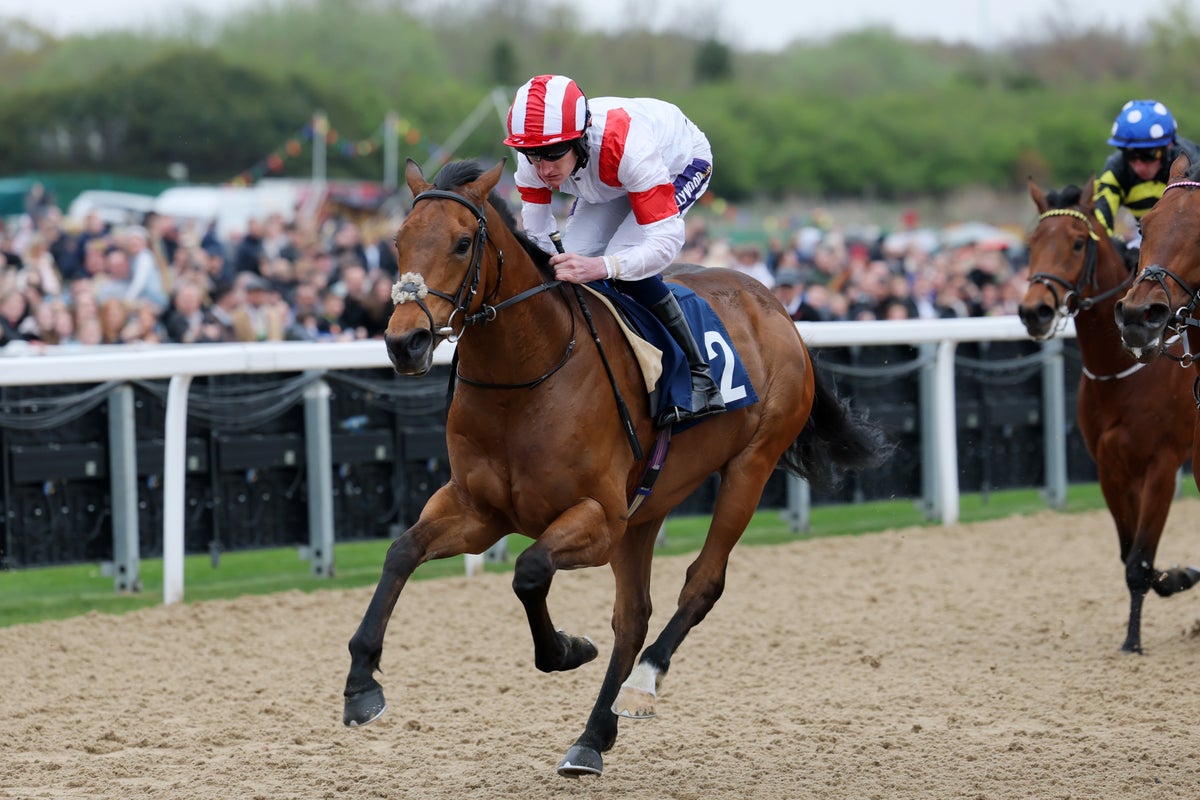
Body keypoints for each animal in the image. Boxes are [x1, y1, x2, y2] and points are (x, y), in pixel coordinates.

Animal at [342, 158, 891, 777]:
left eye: (462, 243)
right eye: (398, 241)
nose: (405, 342)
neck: (525, 379)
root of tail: (775, 307)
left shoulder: (599, 518)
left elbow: (530, 570)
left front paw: (565, 649)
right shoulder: (478, 509)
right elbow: (401, 552)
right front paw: (361, 685)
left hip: (751, 465)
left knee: (702, 583)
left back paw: (642, 684)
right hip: (647, 506)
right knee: (633, 615)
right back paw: (592, 736)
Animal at [1018, 177, 1197, 654]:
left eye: (1078, 242)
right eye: (1032, 243)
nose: (1034, 311)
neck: (1123, 371)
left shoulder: (1162, 463)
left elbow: (1140, 559)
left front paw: (1133, 640)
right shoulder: (1110, 467)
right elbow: (1128, 553)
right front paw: (1176, 577)